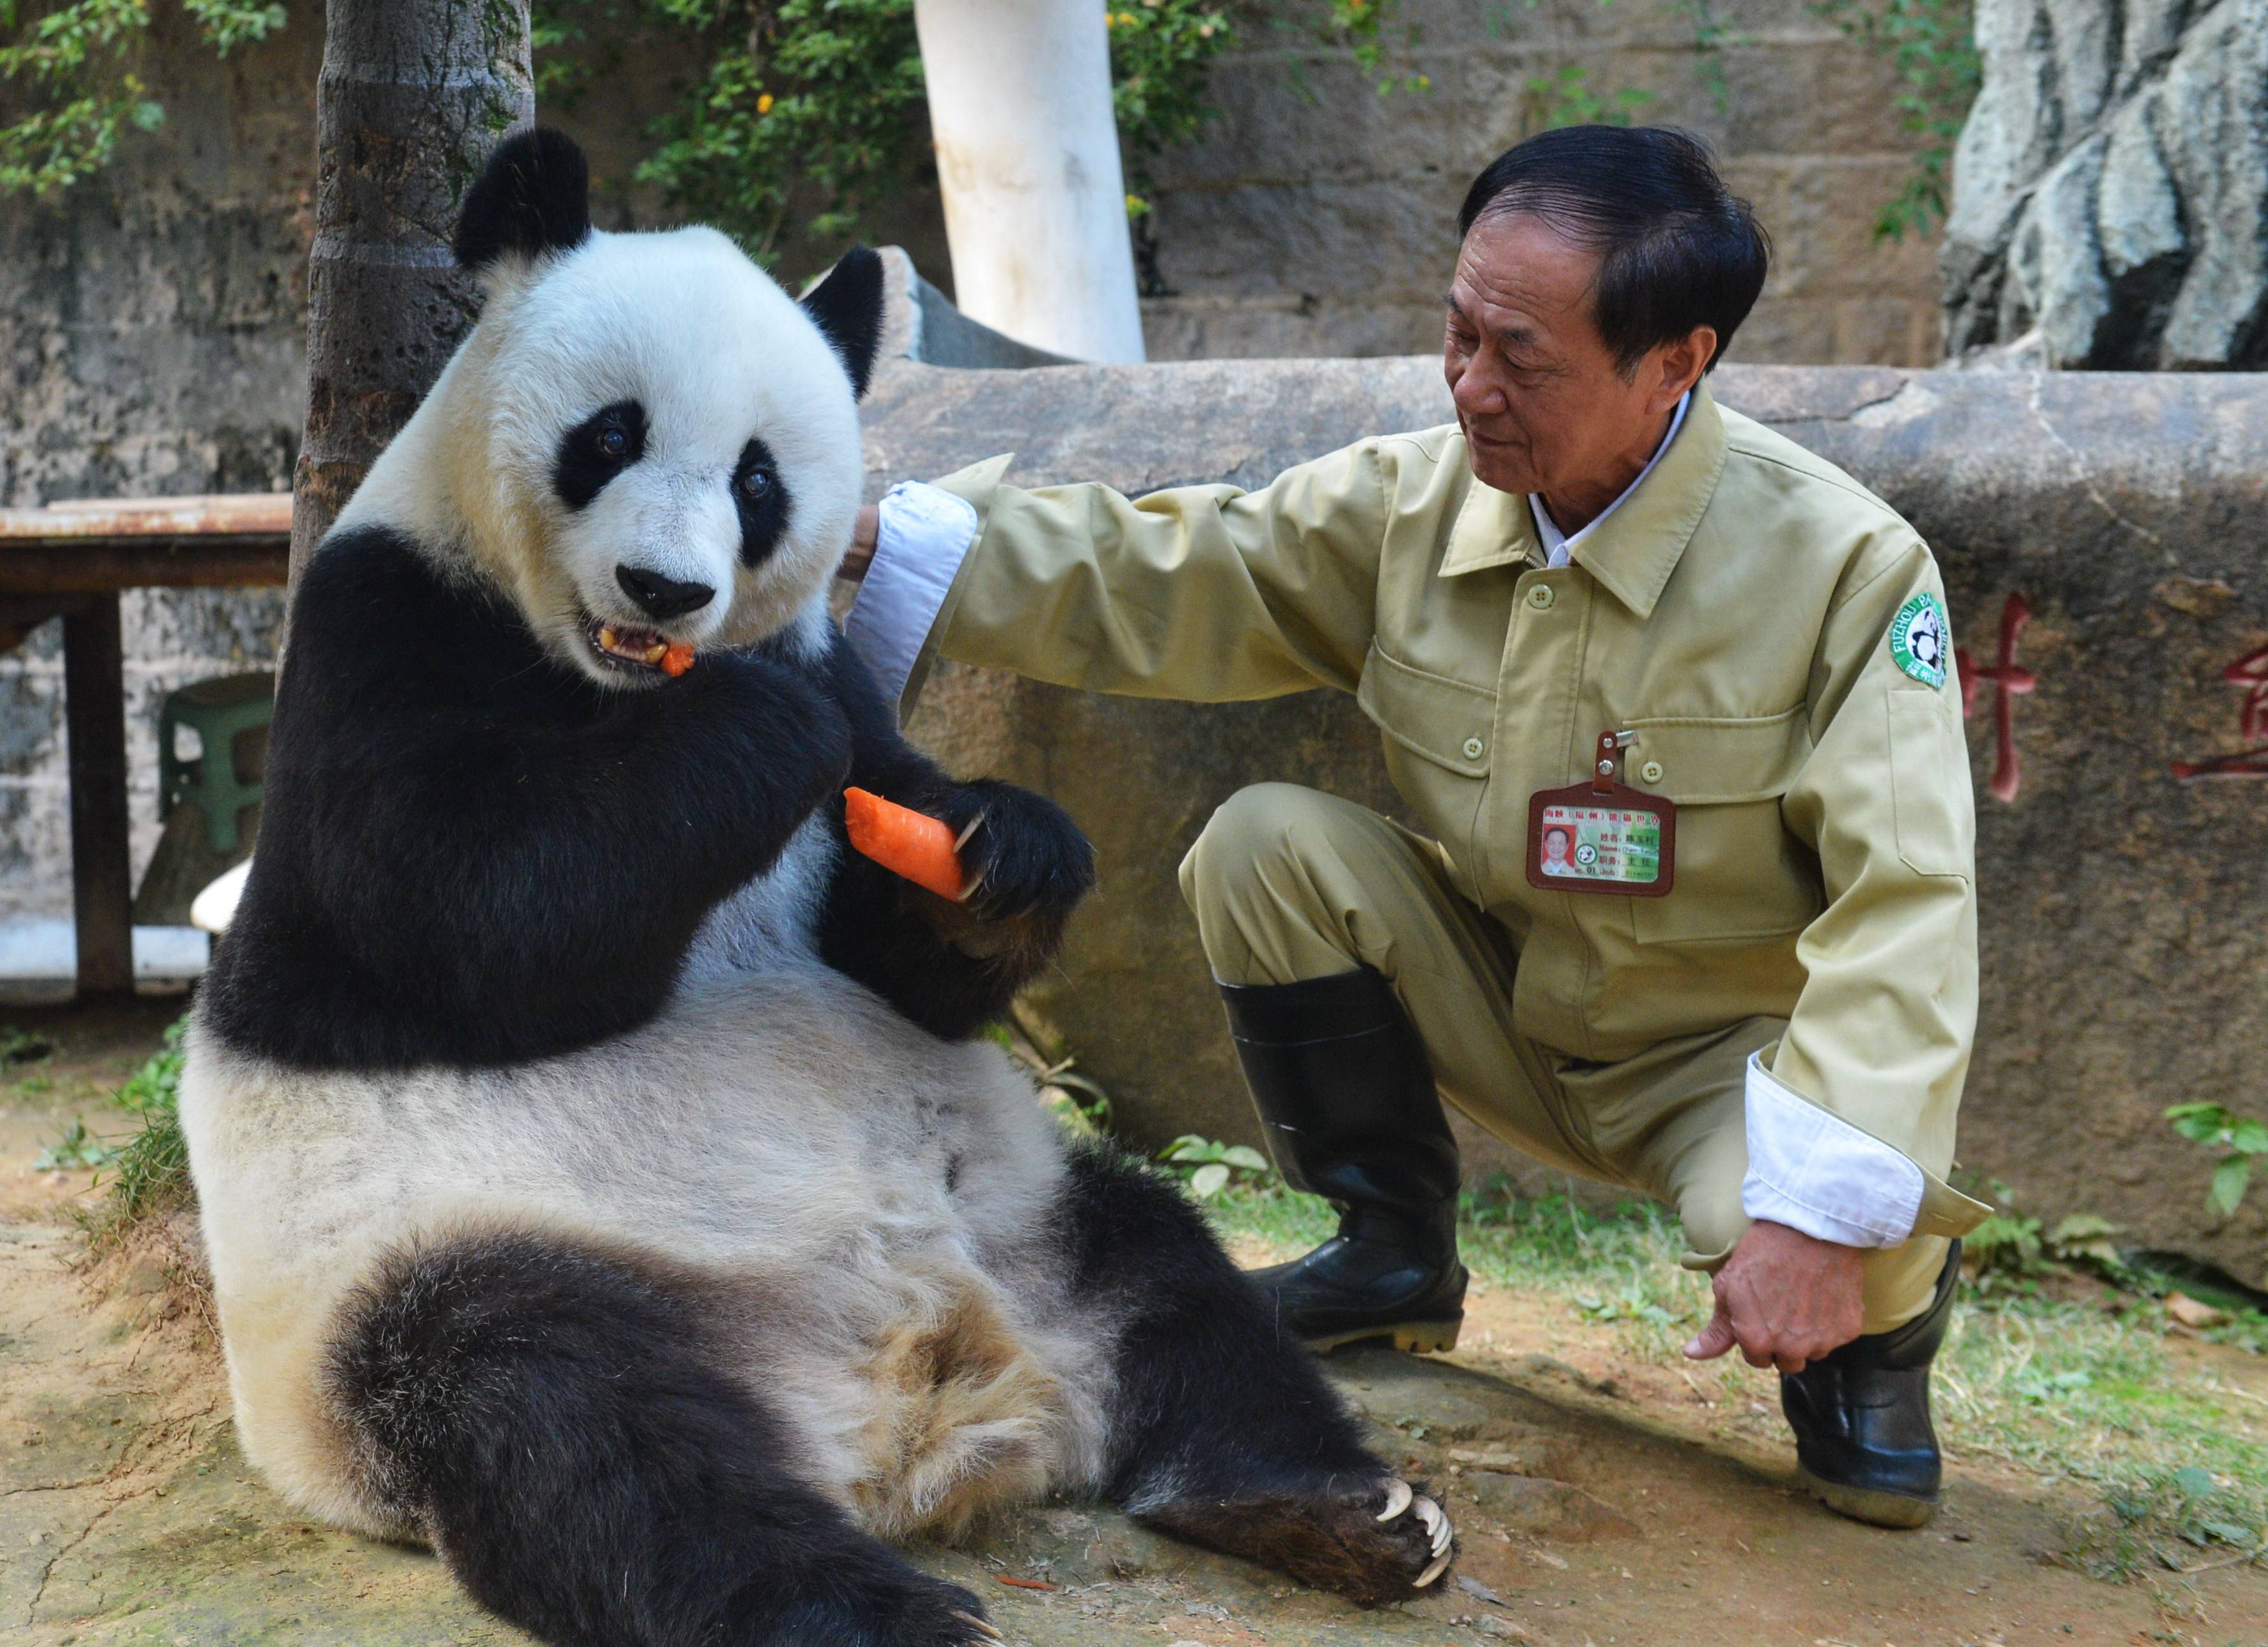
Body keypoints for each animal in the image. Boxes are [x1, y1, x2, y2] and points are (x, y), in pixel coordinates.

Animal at [172, 132, 1451, 1647]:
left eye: (758, 481)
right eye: (609, 435)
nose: (663, 590)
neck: (610, 680)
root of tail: (901, 1405)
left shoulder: (834, 670)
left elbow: (895, 934)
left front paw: (1006, 856)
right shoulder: (382, 632)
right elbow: (466, 922)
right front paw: (747, 740)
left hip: (1031, 1209)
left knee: (1177, 1284)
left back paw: (1330, 1510)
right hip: (441, 1266)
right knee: (581, 1425)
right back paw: (869, 1609)